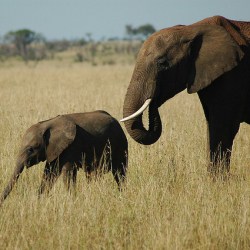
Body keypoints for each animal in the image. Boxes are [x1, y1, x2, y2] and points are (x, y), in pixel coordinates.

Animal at [0, 110, 128, 204]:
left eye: (30, 149)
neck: (47, 124)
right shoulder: (53, 150)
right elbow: (49, 173)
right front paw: (38, 200)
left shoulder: (71, 146)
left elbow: (68, 173)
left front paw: (73, 200)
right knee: (92, 174)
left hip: (120, 144)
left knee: (119, 172)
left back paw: (121, 195)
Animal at [120, 15, 248, 174]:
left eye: (162, 63)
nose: (153, 100)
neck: (191, 29)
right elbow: (212, 125)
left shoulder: (233, 75)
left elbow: (223, 127)